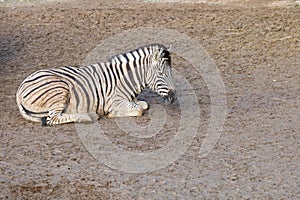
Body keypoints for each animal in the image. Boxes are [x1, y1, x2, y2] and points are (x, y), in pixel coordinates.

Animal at [15, 43, 176, 125]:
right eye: (161, 73)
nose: (174, 97)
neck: (126, 80)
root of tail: (19, 90)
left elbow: (144, 104)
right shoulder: (114, 101)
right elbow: (139, 109)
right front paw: (112, 114)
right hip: (59, 89)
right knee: (52, 119)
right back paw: (88, 116)